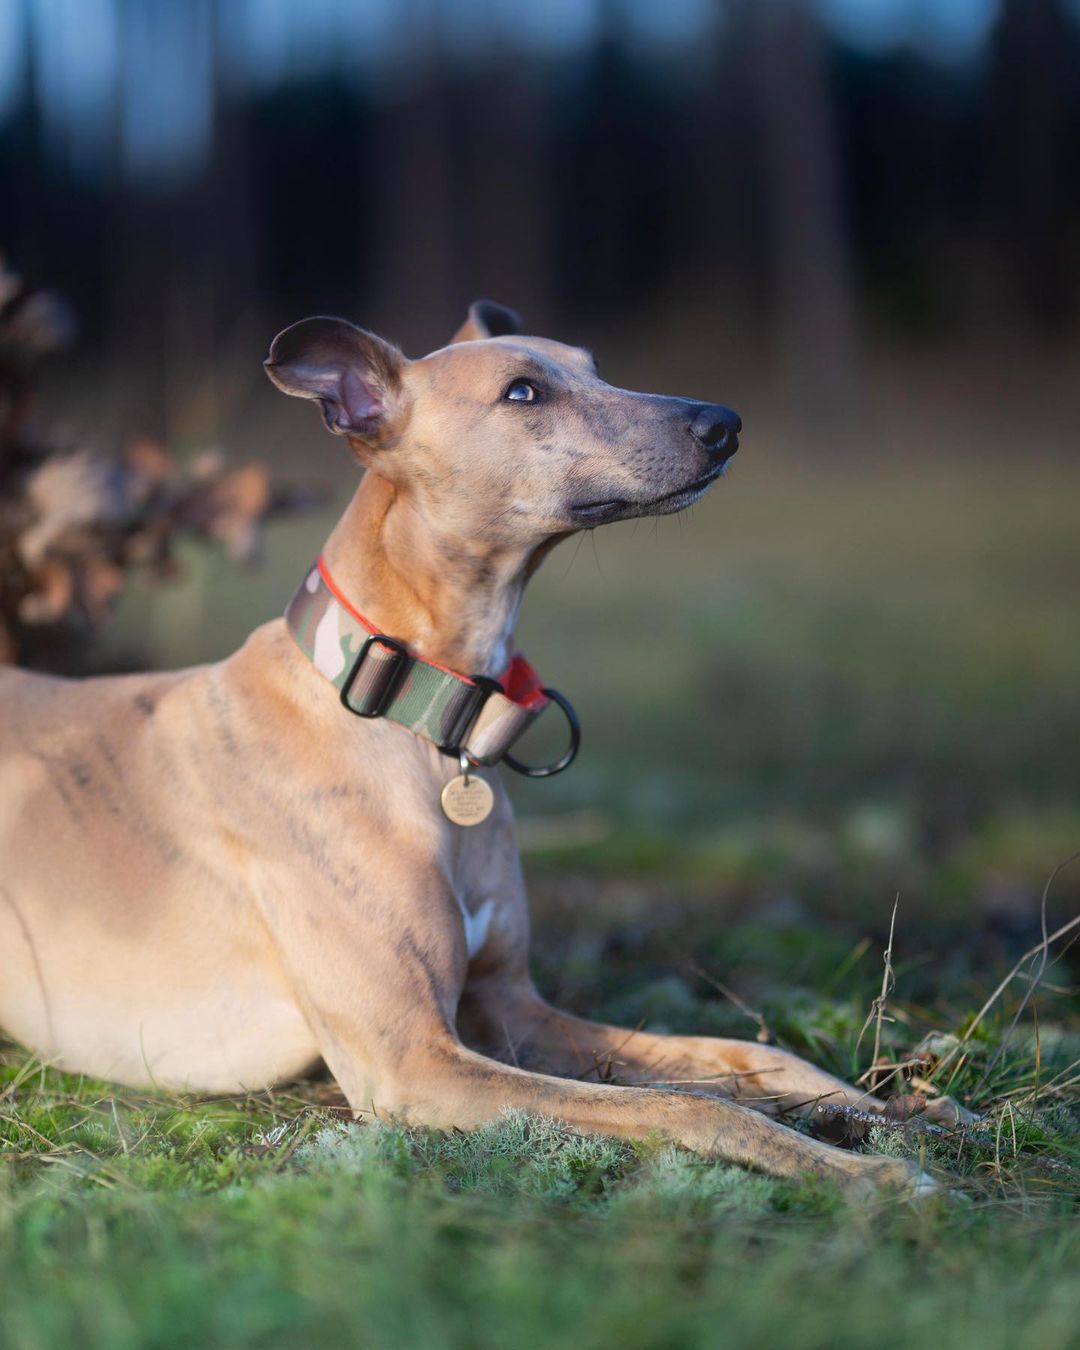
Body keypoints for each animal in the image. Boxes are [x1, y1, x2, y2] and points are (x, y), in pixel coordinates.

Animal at [2, 303, 961, 1193]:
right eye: (523, 392)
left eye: (592, 365)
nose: (723, 423)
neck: (411, 716)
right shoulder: (413, 1062)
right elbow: (685, 1105)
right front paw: (866, 1174)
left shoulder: (512, 1006)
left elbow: (744, 1056)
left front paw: (906, 1110)